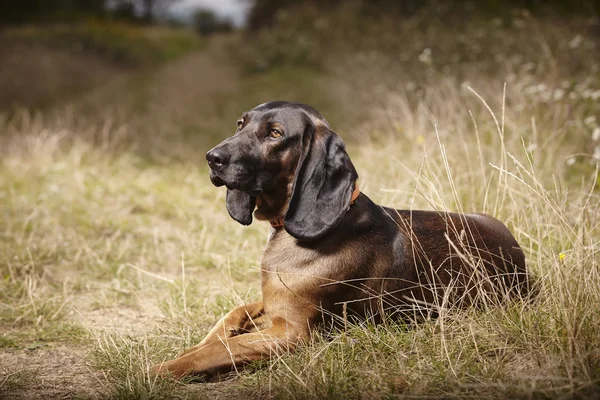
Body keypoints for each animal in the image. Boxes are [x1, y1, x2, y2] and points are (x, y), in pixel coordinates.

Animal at [151, 101, 528, 382]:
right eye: (240, 124)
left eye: (275, 133)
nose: (211, 158)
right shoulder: (271, 306)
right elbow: (229, 319)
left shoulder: (292, 332)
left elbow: (221, 349)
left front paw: (156, 370)